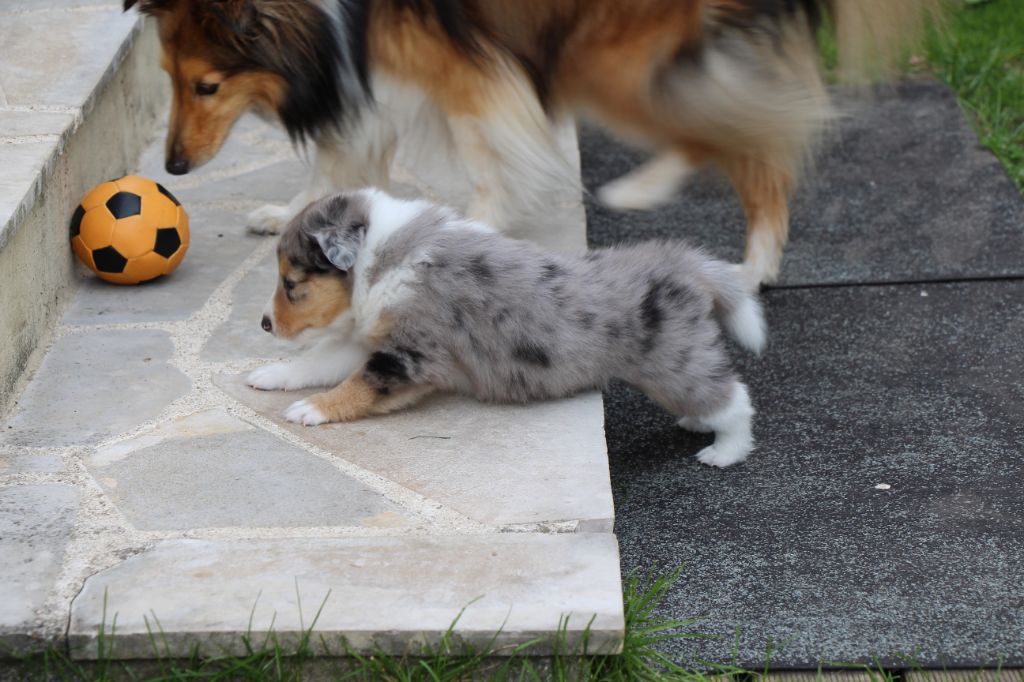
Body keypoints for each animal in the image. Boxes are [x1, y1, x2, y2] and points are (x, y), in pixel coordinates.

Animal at [126, 0, 937, 286]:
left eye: (206, 85)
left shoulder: (463, 71)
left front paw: (476, 226)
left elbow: (489, 157)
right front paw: (291, 213)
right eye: (168, 78)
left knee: (743, 143)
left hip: (609, 57)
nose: (172, 168)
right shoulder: (376, 73)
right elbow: (339, 156)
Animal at [247, 189, 767, 467]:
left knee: (734, 398)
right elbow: (317, 361)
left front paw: (311, 410)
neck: (381, 255)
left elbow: (358, 384)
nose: (264, 324)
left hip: (673, 363)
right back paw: (700, 424)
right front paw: (270, 375)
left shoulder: (411, 355)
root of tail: (679, 263)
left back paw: (726, 450)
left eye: (291, 284)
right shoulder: (368, 338)